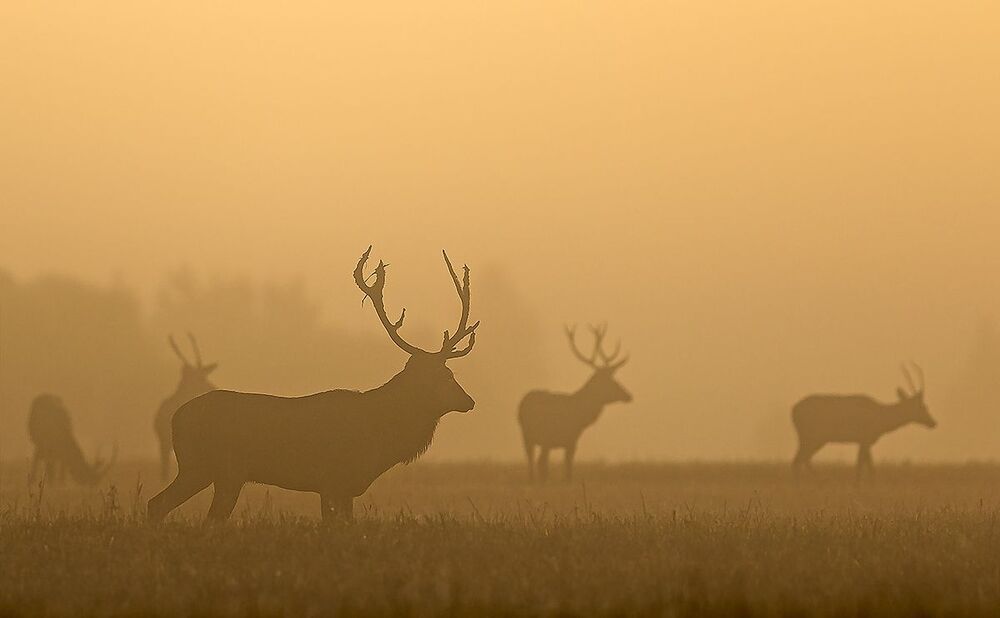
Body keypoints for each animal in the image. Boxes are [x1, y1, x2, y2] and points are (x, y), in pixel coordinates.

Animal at [518, 324, 631, 483]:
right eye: (611, 381)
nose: (628, 396)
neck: (581, 417)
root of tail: (522, 405)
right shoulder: (570, 438)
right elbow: (568, 467)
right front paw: (568, 481)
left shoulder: (565, 440)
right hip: (538, 435)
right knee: (540, 462)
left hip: (531, 436)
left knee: (534, 461)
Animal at [791, 363, 936, 482]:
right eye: (922, 406)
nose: (933, 423)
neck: (881, 414)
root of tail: (793, 410)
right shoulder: (865, 440)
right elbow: (865, 466)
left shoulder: (864, 442)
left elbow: (864, 465)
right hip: (814, 438)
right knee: (800, 459)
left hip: (811, 439)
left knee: (801, 459)